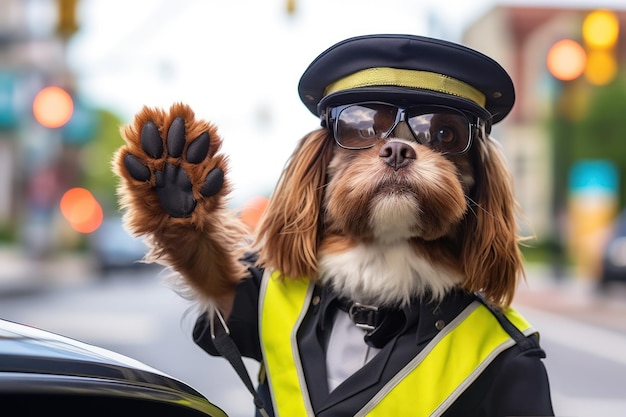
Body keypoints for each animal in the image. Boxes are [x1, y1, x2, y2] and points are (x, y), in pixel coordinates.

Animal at [112, 33, 552, 416]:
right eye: (361, 128)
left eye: (445, 133)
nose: (397, 149)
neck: (380, 264)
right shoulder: (232, 298)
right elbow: (207, 260)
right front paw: (175, 181)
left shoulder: (521, 366)